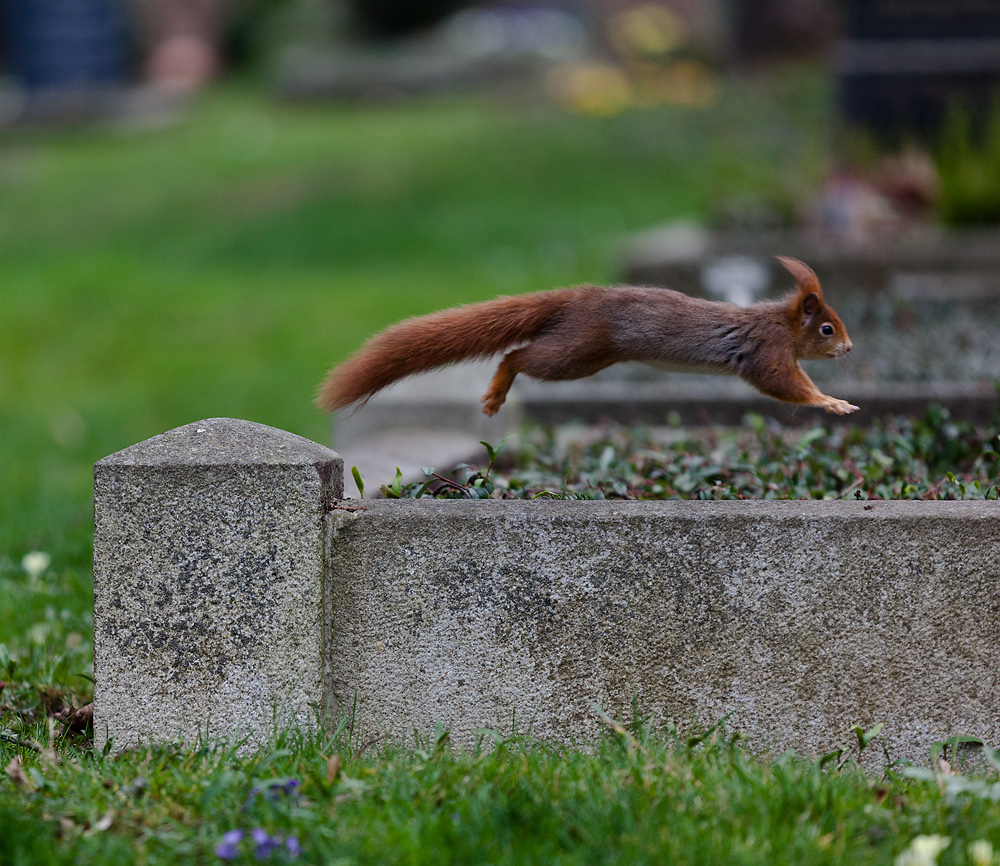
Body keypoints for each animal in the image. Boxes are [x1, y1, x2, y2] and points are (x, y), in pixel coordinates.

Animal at [320, 256, 860, 416]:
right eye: (827, 328)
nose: (851, 348)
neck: (781, 322)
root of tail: (578, 299)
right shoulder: (766, 351)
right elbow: (782, 384)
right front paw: (832, 402)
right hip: (578, 351)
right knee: (518, 357)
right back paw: (497, 392)